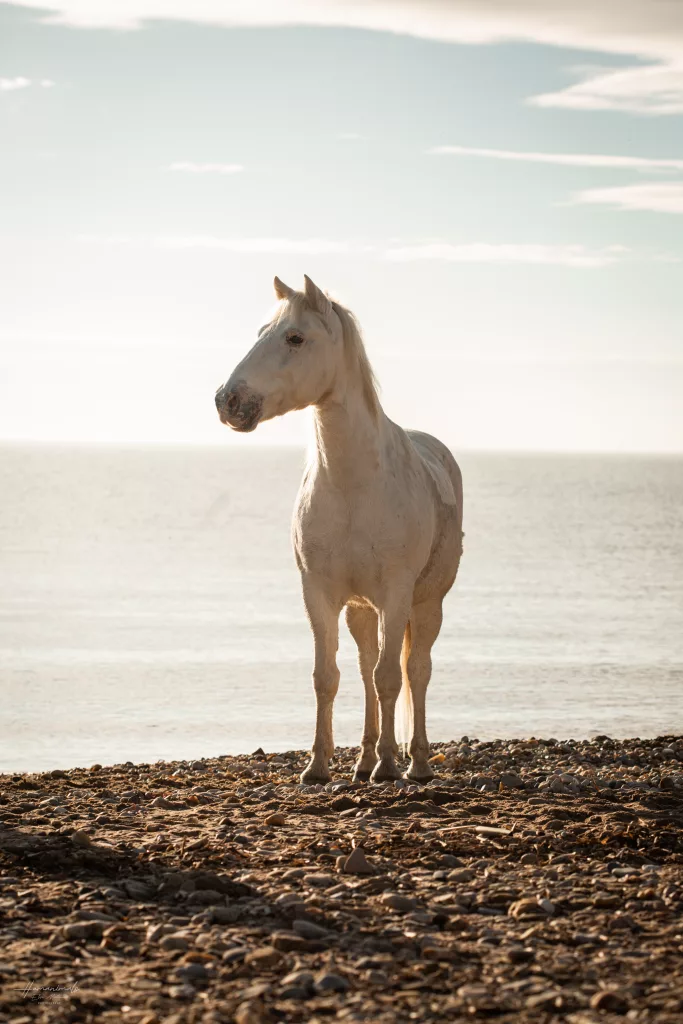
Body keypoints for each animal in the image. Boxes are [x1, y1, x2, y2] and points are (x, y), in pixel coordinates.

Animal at [215, 275, 463, 784]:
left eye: (294, 337)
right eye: (260, 333)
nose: (228, 401)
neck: (352, 483)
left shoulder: (396, 593)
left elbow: (392, 677)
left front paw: (389, 764)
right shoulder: (320, 593)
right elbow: (326, 677)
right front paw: (317, 765)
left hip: (426, 603)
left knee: (416, 670)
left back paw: (416, 763)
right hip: (361, 610)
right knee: (368, 667)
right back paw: (365, 758)